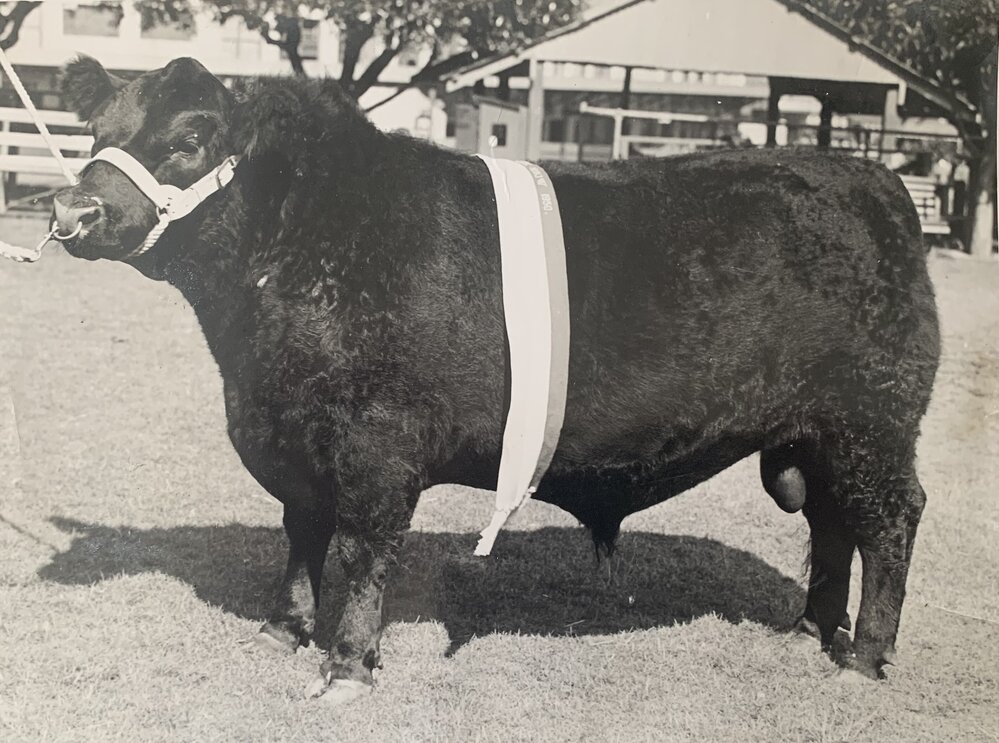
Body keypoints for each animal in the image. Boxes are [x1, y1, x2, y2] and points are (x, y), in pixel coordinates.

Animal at [53, 56, 939, 702]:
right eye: (95, 129)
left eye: (189, 139)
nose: (72, 214)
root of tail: (872, 181)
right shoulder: (289, 436)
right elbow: (302, 534)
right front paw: (283, 628)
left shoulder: (376, 445)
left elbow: (361, 548)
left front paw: (347, 665)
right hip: (818, 433)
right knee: (831, 522)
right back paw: (810, 629)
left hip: (874, 422)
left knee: (888, 521)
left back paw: (866, 654)